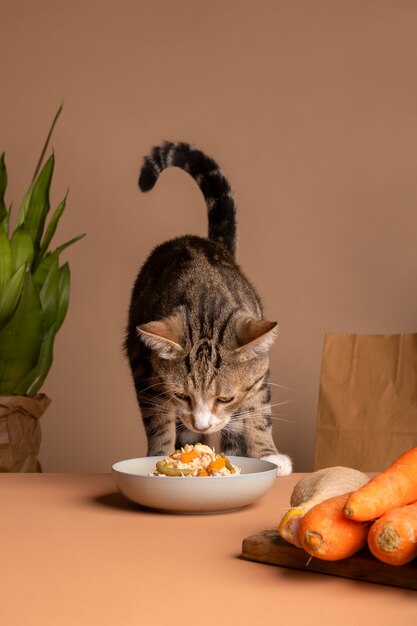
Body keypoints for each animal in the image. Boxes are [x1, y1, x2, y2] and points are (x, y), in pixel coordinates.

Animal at [125, 140, 290, 472]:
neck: (206, 303)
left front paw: (268, 454)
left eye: (225, 399)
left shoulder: (258, 372)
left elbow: (259, 410)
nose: (202, 424)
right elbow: (158, 420)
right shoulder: (144, 369)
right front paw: (160, 456)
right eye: (181, 395)